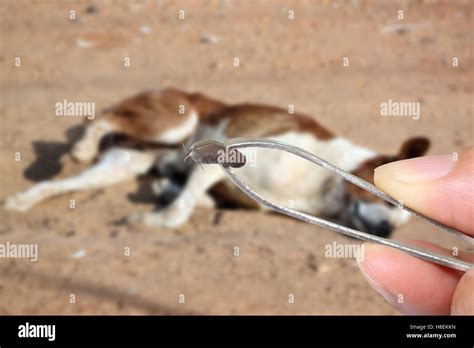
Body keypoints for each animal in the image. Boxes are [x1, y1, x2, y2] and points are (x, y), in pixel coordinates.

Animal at [4, 87, 430, 237]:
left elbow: (191, 199)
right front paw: (152, 220)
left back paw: (22, 200)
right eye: (388, 202)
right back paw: (79, 147)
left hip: (122, 164)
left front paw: (164, 189)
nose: (389, 234)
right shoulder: (220, 158)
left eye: (403, 222)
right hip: (175, 120)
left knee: (57, 185)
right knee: (101, 116)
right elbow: (178, 214)